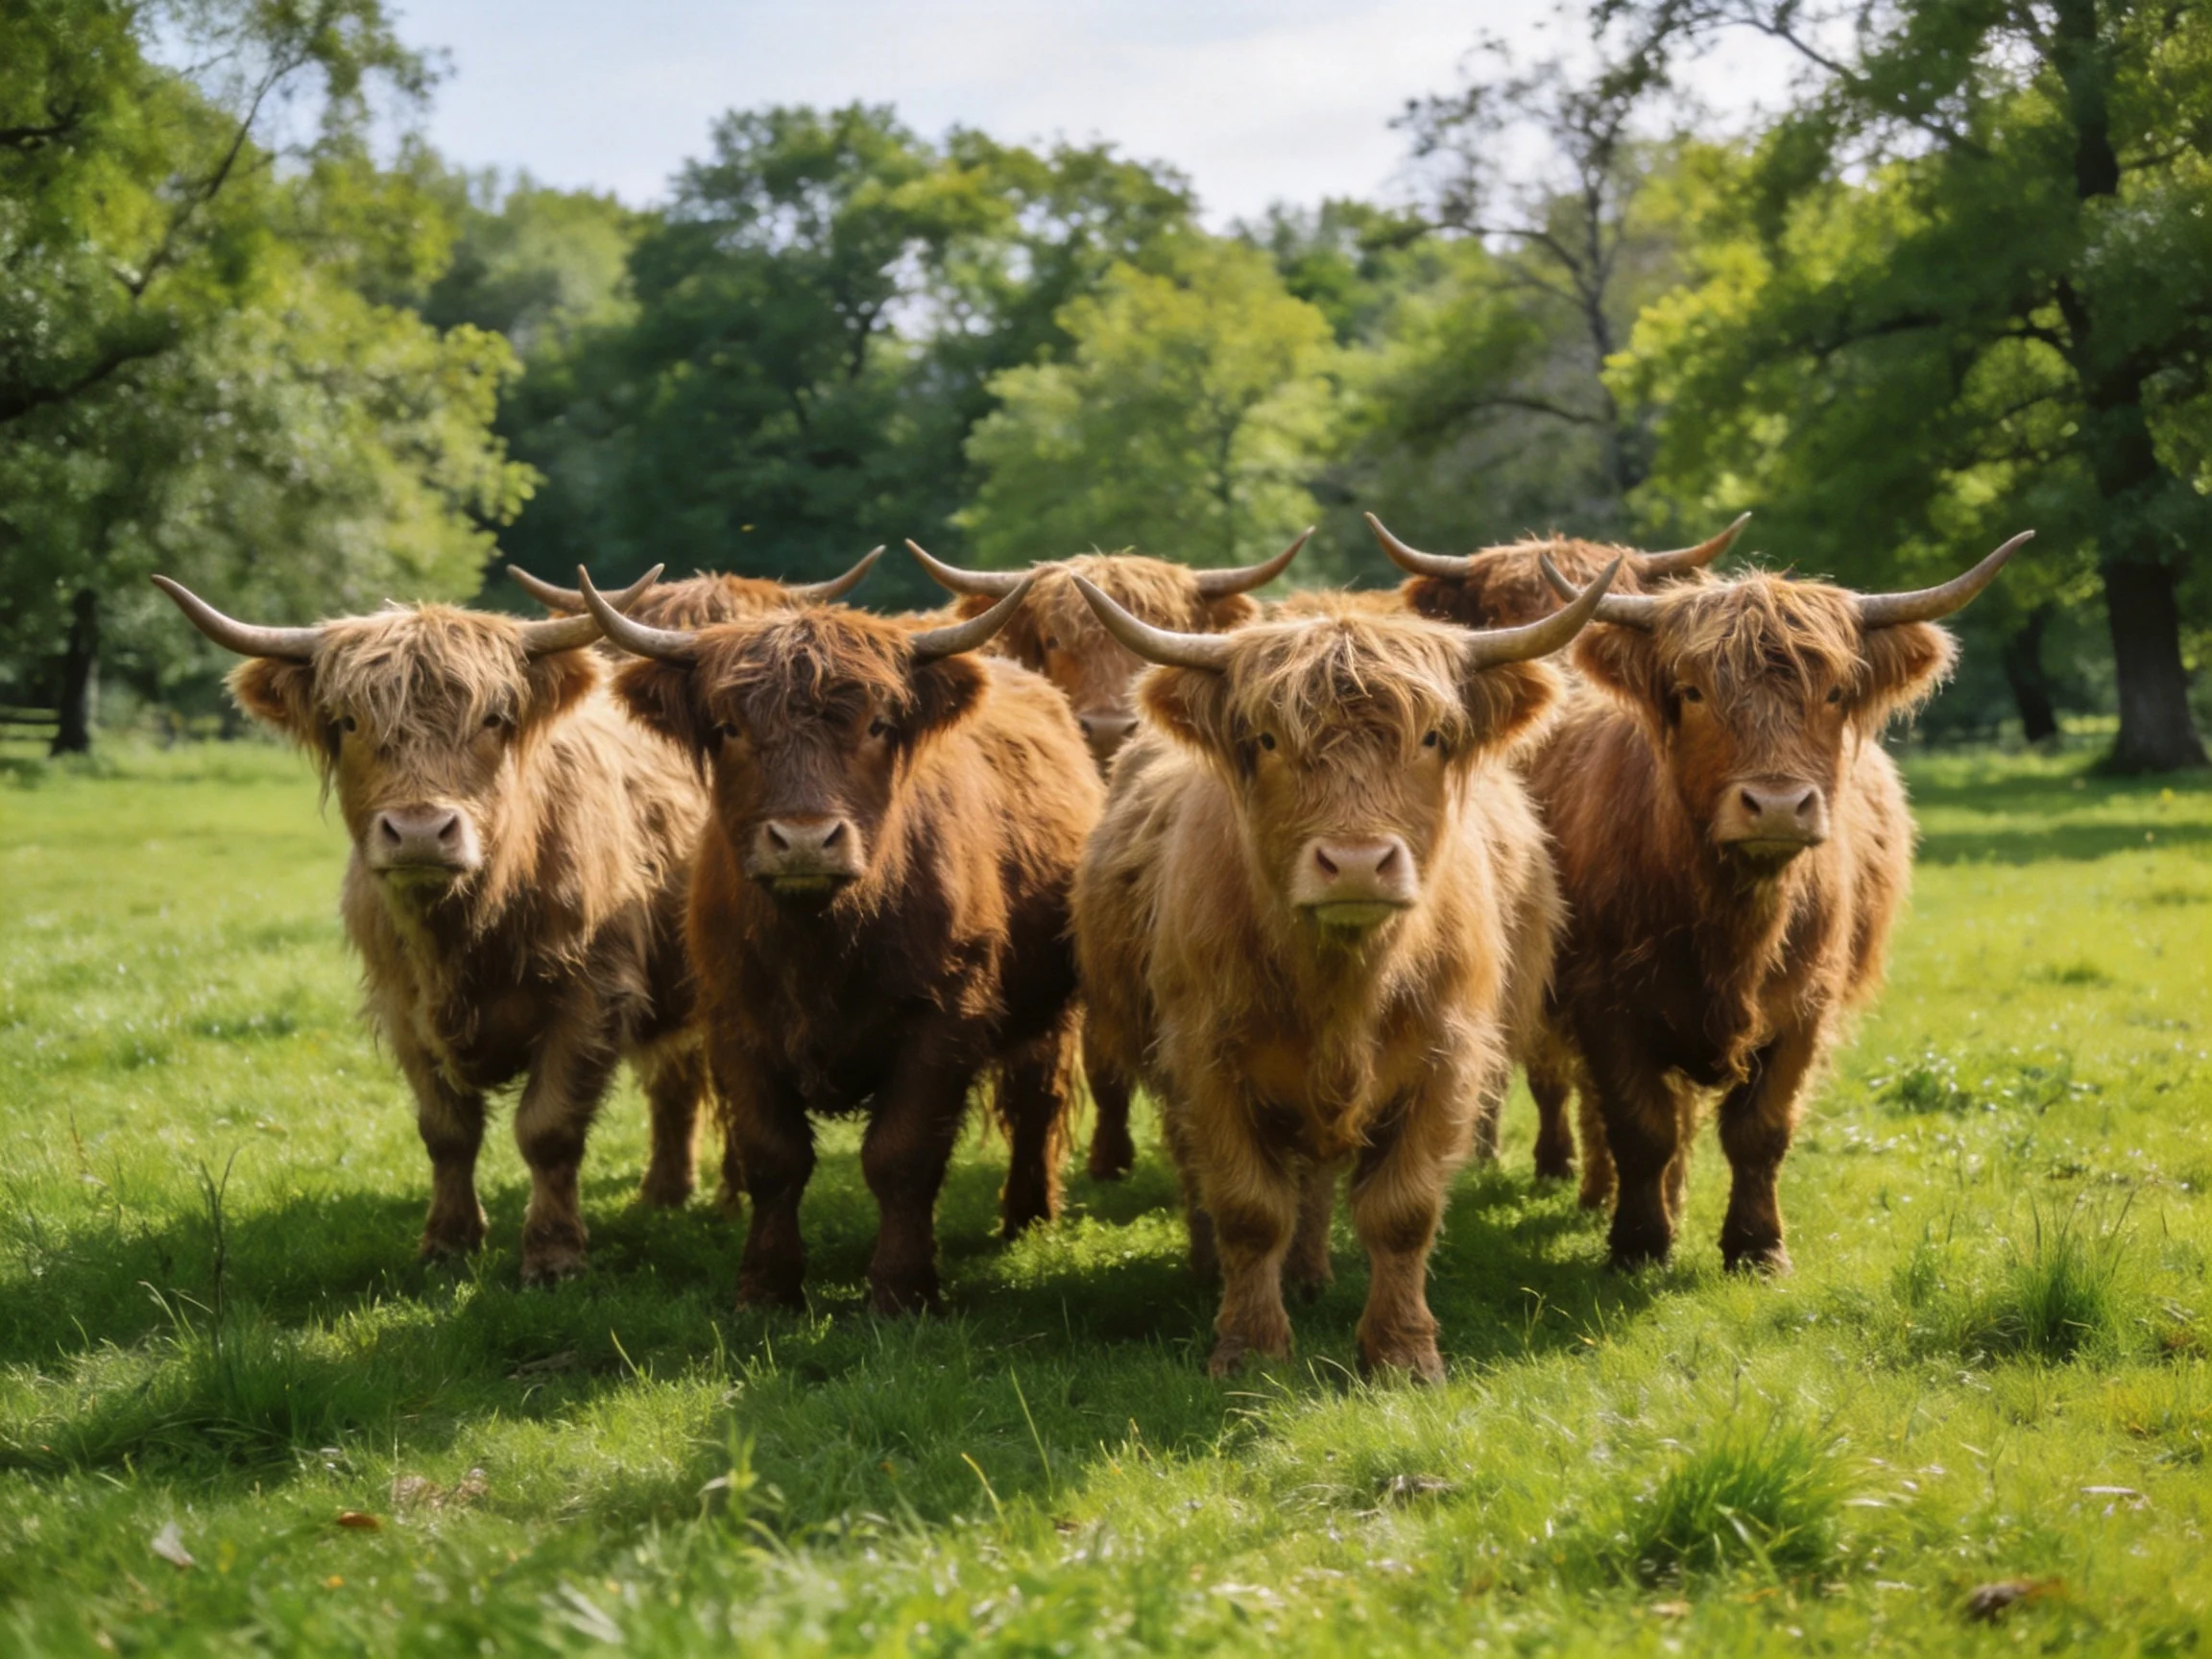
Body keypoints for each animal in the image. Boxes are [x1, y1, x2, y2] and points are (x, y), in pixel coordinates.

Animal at [152, 569, 712, 1284]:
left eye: (494, 718)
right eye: (349, 721)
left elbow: (548, 1129)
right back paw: (664, 1194)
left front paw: (553, 1254)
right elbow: (447, 1133)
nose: (420, 831)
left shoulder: (592, 996)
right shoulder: (402, 1007)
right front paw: (447, 1243)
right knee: (676, 1082)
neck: (464, 930)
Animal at [577, 570, 1104, 1315]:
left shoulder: (942, 1020)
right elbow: (774, 1157)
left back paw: (1027, 1216)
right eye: (730, 728)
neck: (819, 942)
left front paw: (901, 1290)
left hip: (1048, 1011)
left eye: (878, 725)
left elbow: (901, 1155)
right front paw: (766, 1287)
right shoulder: (736, 1022)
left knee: (1037, 1100)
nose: (804, 840)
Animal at [1069, 568, 1617, 1380]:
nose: (1357, 863)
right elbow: (1248, 1208)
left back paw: (1309, 1274)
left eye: (1432, 737)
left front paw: (1402, 1353)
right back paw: (1215, 1270)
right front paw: (1249, 1348)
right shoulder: (1206, 1059)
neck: (1343, 984)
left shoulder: (1447, 1058)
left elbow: (1402, 1213)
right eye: (1267, 739)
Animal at [1527, 535, 2030, 1272]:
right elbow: (1640, 1126)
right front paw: (1640, 1244)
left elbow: (1761, 1130)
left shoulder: (1806, 1004)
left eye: (1836, 692)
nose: (1777, 805)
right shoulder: (1603, 1000)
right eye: (1692, 691)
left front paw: (1758, 1247)